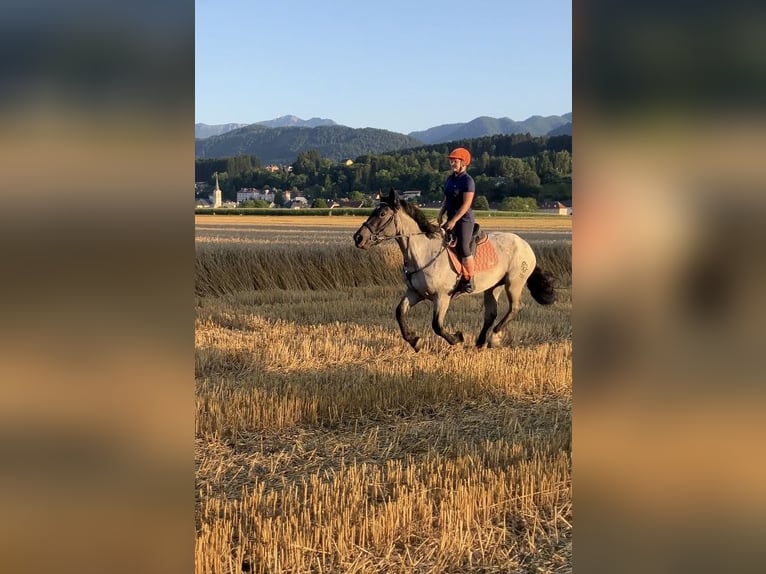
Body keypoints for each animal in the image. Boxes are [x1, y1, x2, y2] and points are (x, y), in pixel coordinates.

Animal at [354, 189, 560, 352]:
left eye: (382, 214)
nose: (358, 238)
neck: (423, 251)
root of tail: (526, 245)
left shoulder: (442, 296)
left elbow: (437, 325)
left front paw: (457, 338)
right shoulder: (415, 293)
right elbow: (399, 312)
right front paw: (415, 341)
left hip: (514, 283)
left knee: (515, 308)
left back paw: (495, 337)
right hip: (494, 286)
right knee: (491, 314)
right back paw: (480, 343)